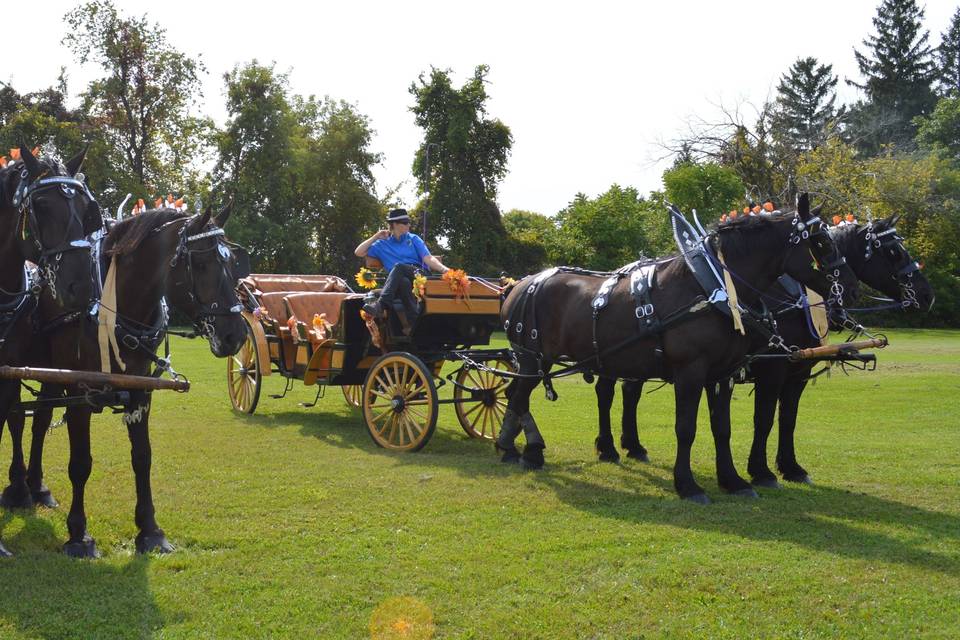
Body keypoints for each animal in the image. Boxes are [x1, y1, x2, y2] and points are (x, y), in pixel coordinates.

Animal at [1, 208, 248, 556]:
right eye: (201, 263)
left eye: (232, 262)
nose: (235, 335)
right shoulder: (81, 391)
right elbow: (80, 463)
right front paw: (79, 535)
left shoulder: (140, 389)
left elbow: (142, 458)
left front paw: (150, 531)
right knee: (15, 419)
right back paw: (18, 489)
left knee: (39, 421)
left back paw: (37, 487)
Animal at [498, 198, 860, 502]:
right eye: (822, 241)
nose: (852, 288)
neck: (711, 287)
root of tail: (521, 284)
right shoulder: (692, 371)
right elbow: (686, 429)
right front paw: (687, 485)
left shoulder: (723, 374)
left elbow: (723, 428)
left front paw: (733, 480)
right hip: (530, 357)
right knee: (518, 396)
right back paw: (516, 449)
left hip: (539, 361)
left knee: (519, 393)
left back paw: (527, 448)